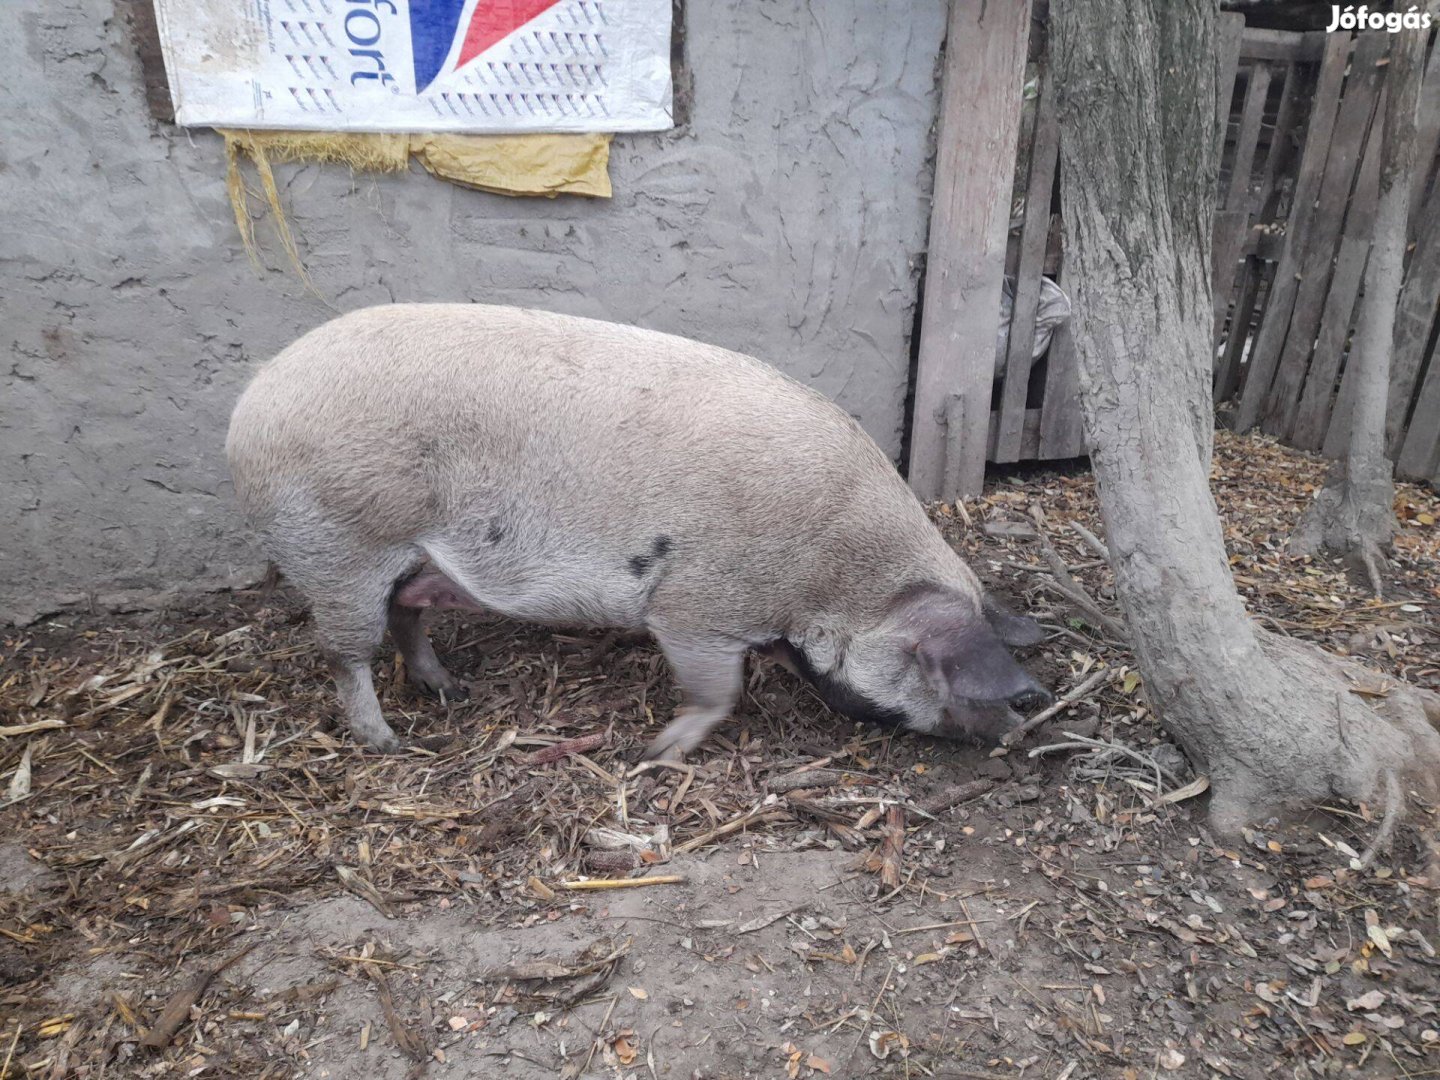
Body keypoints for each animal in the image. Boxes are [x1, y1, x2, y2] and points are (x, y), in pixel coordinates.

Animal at [230, 305, 1054, 754]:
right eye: (931, 664)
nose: (1021, 723)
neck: (831, 574)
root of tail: (253, 398)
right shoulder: (693, 606)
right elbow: (718, 690)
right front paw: (658, 753)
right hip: (337, 548)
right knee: (346, 654)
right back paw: (388, 741)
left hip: (407, 559)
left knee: (407, 616)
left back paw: (451, 690)